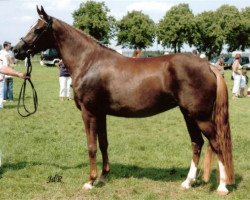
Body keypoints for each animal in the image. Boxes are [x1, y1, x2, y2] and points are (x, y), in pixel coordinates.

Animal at [13, 6, 234, 195]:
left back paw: (222, 186)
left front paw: (90, 181)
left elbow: (91, 146)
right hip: (188, 114)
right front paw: (103, 177)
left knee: (217, 143)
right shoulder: (101, 113)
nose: (17, 50)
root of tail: (208, 66)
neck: (89, 62)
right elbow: (103, 143)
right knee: (197, 143)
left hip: (201, 117)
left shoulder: (88, 112)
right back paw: (188, 182)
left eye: (38, 29)